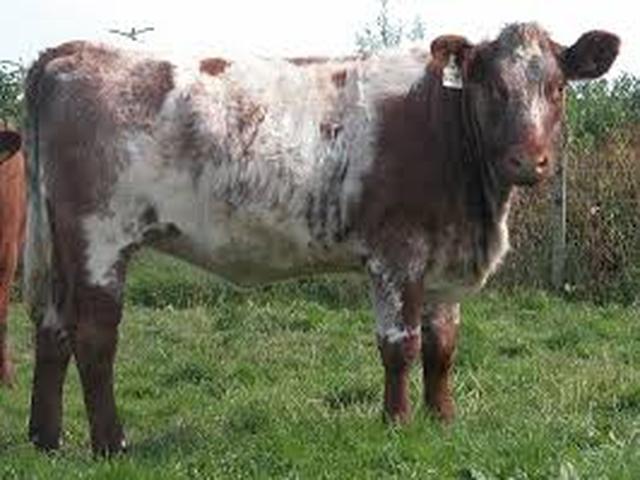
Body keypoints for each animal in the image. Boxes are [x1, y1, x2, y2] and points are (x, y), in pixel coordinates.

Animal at [23, 23, 619, 455]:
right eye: (493, 88)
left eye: (557, 88)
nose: (529, 162)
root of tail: (69, 51)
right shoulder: (398, 254)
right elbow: (400, 345)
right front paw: (397, 423)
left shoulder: (443, 259)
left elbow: (442, 345)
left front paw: (442, 419)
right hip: (99, 237)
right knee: (94, 335)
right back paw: (111, 443)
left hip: (58, 244)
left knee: (50, 327)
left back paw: (45, 440)